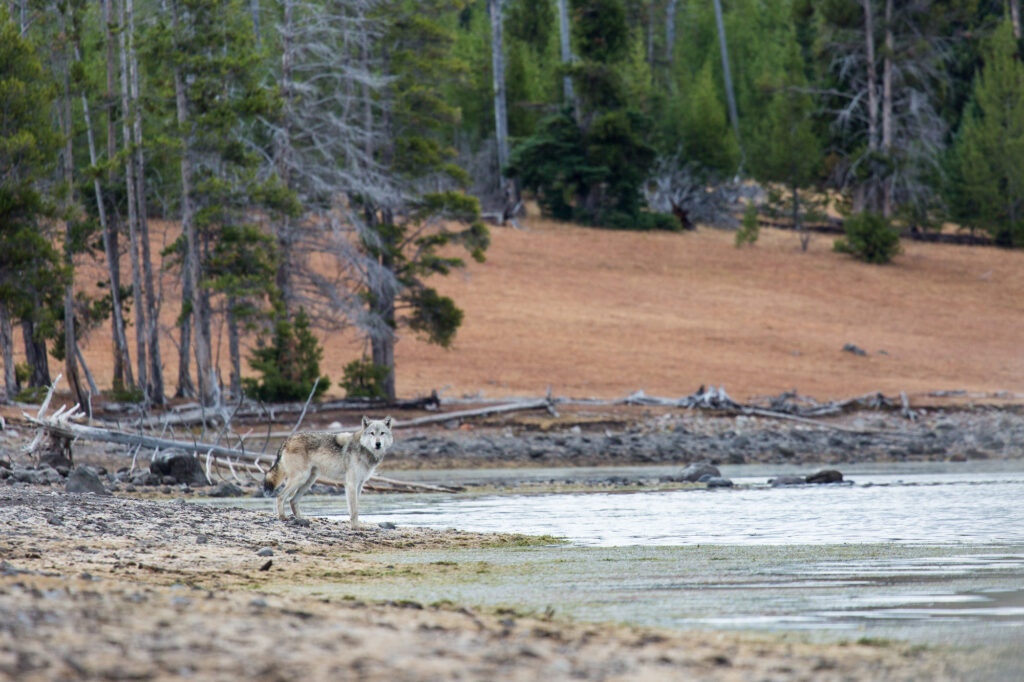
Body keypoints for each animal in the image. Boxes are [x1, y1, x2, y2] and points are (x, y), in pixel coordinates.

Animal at [262, 416, 393, 527]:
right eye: (372, 433)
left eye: (382, 433)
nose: (378, 444)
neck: (363, 450)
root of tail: (287, 440)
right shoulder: (351, 484)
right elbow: (354, 510)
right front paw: (355, 527)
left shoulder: (359, 484)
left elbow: (356, 508)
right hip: (300, 478)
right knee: (280, 496)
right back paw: (283, 517)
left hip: (309, 481)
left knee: (292, 500)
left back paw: (302, 519)